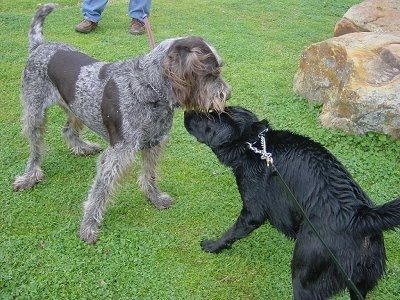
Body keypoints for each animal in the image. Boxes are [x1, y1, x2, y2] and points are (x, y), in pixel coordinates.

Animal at [14, 3, 231, 244]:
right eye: (211, 73)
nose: (227, 94)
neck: (148, 87)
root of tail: (40, 46)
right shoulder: (117, 153)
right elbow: (100, 192)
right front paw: (89, 225)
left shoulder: (154, 143)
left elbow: (149, 175)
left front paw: (154, 197)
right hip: (35, 113)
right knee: (36, 150)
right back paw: (30, 176)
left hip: (75, 107)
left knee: (68, 130)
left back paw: (82, 147)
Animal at [184, 106, 400, 298]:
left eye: (208, 114)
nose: (186, 111)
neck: (255, 144)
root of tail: (359, 215)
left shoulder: (253, 210)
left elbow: (232, 232)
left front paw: (212, 246)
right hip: (361, 282)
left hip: (305, 272)